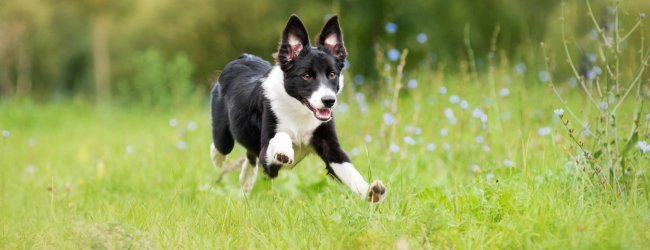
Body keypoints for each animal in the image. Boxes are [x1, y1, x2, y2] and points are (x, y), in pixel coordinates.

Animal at [209, 14, 384, 203]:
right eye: (306, 76)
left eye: (332, 74)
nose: (329, 101)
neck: (300, 111)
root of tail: (243, 57)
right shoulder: (268, 159)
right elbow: (281, 136)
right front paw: (284, 151)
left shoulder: (330, 145)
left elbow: (349, 170)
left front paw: (372, 191)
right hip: (223, 133)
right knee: (221, 146)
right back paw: (218, 159)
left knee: (250, 155)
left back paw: (246, 180)